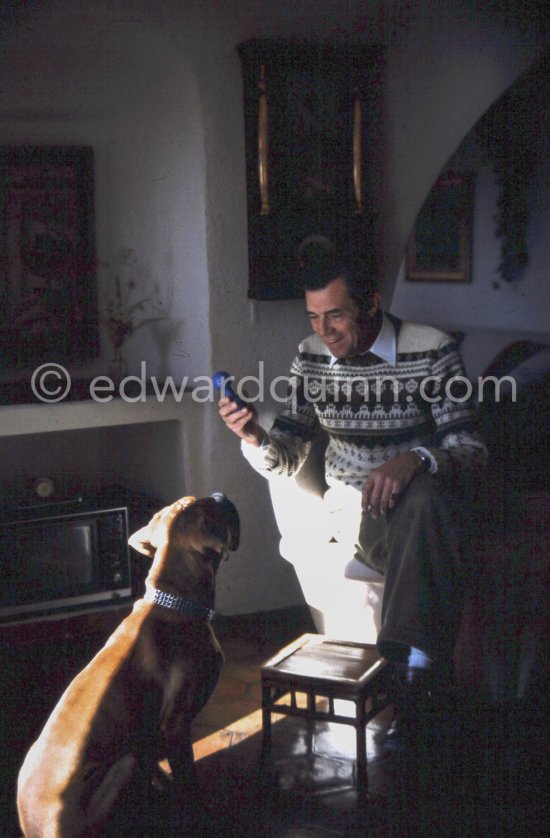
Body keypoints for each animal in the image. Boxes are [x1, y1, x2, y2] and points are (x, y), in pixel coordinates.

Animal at [16, 496, 239, 836]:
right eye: (205, 507)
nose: (218, 495)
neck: (172, 600)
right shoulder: (175, 725)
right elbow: (188, 783)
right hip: (127, 764)